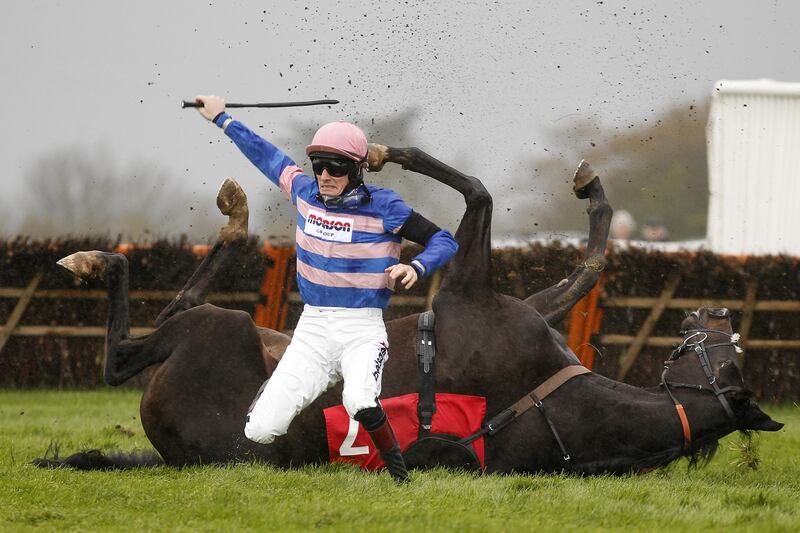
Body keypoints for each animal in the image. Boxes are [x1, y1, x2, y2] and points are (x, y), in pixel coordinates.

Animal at [42, 147, 780, 474]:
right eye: (730, 352)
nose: (719, 317)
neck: (551, 400)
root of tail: (172, 454)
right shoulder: (521, 304)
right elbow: (587, 262)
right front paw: (592, 188)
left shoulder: (473, 294)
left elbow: (477, 194)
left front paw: (383, 158)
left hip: (218, 333)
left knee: (127, 352)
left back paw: (130, 252)